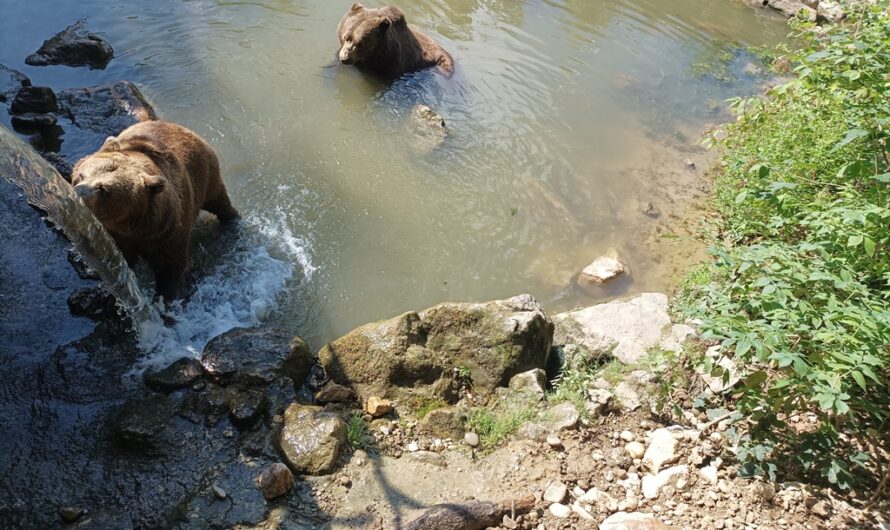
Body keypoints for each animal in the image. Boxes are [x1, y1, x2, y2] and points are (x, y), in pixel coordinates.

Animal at [71, 121, 239, 300]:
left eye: (103, 189)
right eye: (82, 175)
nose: (77, 192)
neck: (130, 225)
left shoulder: (166, 233)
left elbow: (171, 266)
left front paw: (164, 297)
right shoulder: (117, 236)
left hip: (206, 175)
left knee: (219, 201)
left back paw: (232, 220)